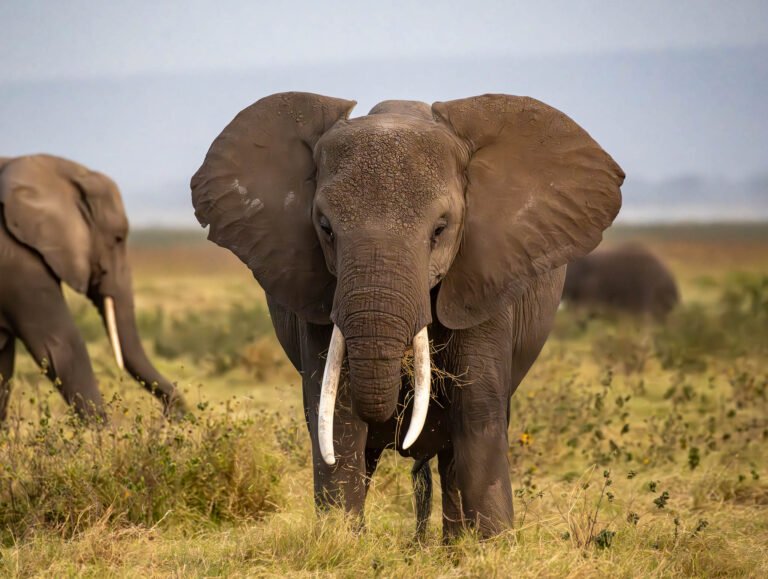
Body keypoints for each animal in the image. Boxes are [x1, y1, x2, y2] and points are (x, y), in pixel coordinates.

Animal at [0, 156, 186, 424]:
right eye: (118, 238)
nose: (171, 415)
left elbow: (5, 362)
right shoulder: (18, 262)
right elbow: (62, 344)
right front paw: (105, 433)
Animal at [190, 90, 624, 540]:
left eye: (441, 229)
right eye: (325, 228)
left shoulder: (486, 276)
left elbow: (477, 414)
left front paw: (493, 545)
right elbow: (337, 418)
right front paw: (342, 542)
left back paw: (455, 544)